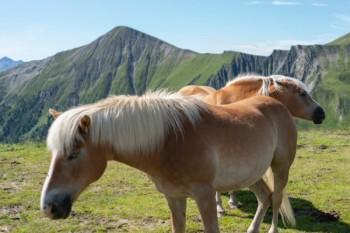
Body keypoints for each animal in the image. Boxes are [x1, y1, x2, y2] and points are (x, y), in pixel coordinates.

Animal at [40, 91, 298, 233]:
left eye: (74, 153)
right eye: (53, 153)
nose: (49, 207)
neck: (170, 140)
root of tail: (278, 106)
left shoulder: (204, 195)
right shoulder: (174, 196)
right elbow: (178, 227)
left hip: (280, 168)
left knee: (275, 198)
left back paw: (272, 229)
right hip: (251, 174)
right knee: (264, 197)